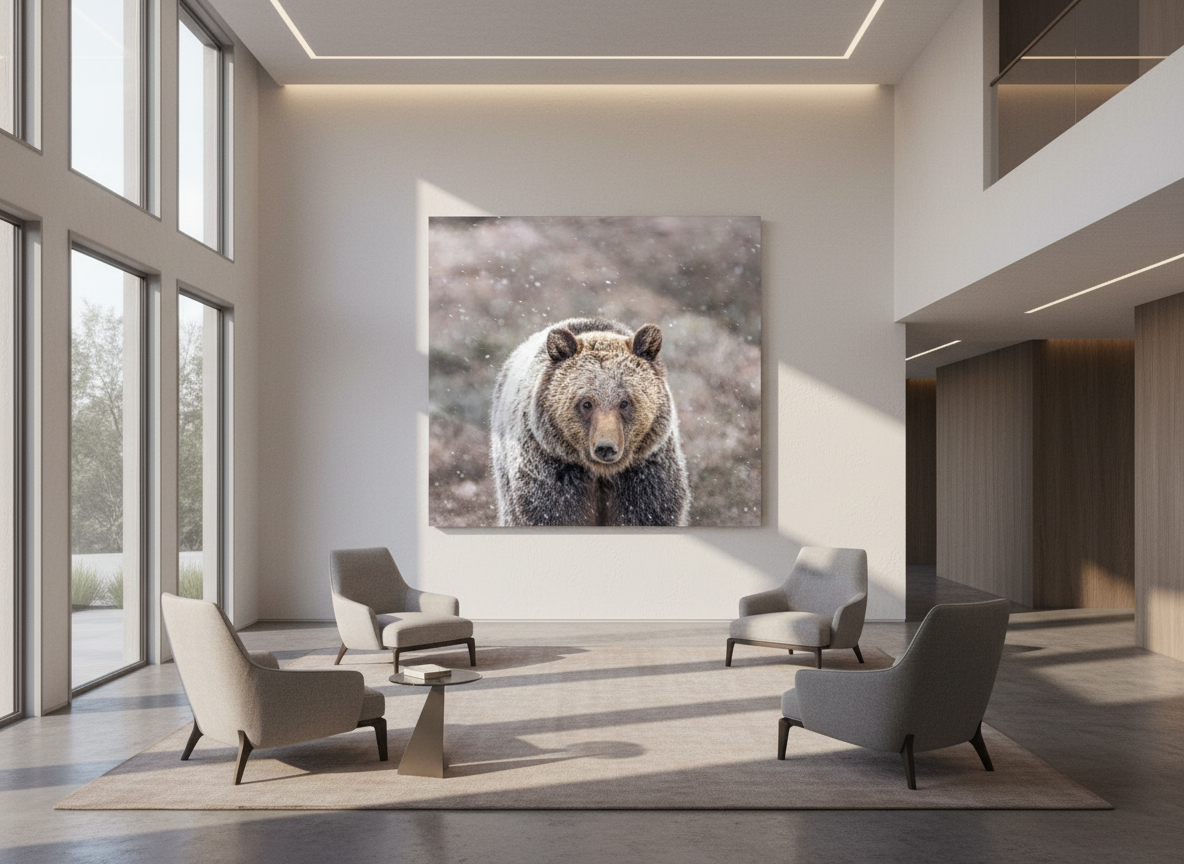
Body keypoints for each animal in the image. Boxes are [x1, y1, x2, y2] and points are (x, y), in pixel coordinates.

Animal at [490, 317, 691, 527]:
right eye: (586, 403)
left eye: (624, 402)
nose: (606, 447)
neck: (601, 473)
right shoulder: (551, 471)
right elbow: (550, 513)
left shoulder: (645, 473)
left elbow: (649, 512)